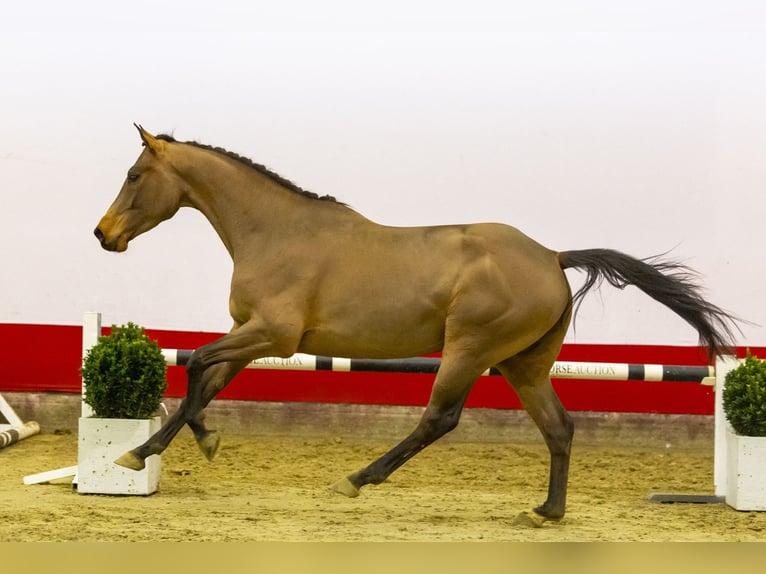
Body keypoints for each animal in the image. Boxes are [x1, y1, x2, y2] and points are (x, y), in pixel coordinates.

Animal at [93, 126, 740, 528]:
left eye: (133, 174)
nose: (103, 235)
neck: (275, 232)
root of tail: (553, 256)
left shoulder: (272, 335)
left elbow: (199, 365)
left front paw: (180, 446)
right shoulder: (252, 337)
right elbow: (204, 380)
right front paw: (151, 450)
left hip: (470, 350)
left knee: (439, 418)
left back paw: (357, 479)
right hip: (524, 364)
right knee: (559, 427)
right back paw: (545, 513)